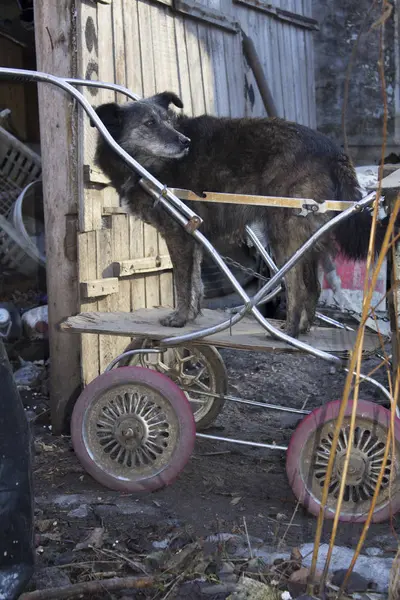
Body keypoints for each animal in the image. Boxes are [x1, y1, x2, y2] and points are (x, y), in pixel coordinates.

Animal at [93, 92, 388, 340]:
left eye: (168, 121)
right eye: (149, 123)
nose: (185, 142)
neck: (143, 164)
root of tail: (332, 149)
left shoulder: (178, 235)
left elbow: (183, 283)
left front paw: (180, 319)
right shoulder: (193, 236)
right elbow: (196, 283)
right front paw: (192, 316)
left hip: (284, 234)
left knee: (297, 286)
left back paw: (288, 331)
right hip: (307, 238)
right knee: (313, 286)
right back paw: (303, 329)